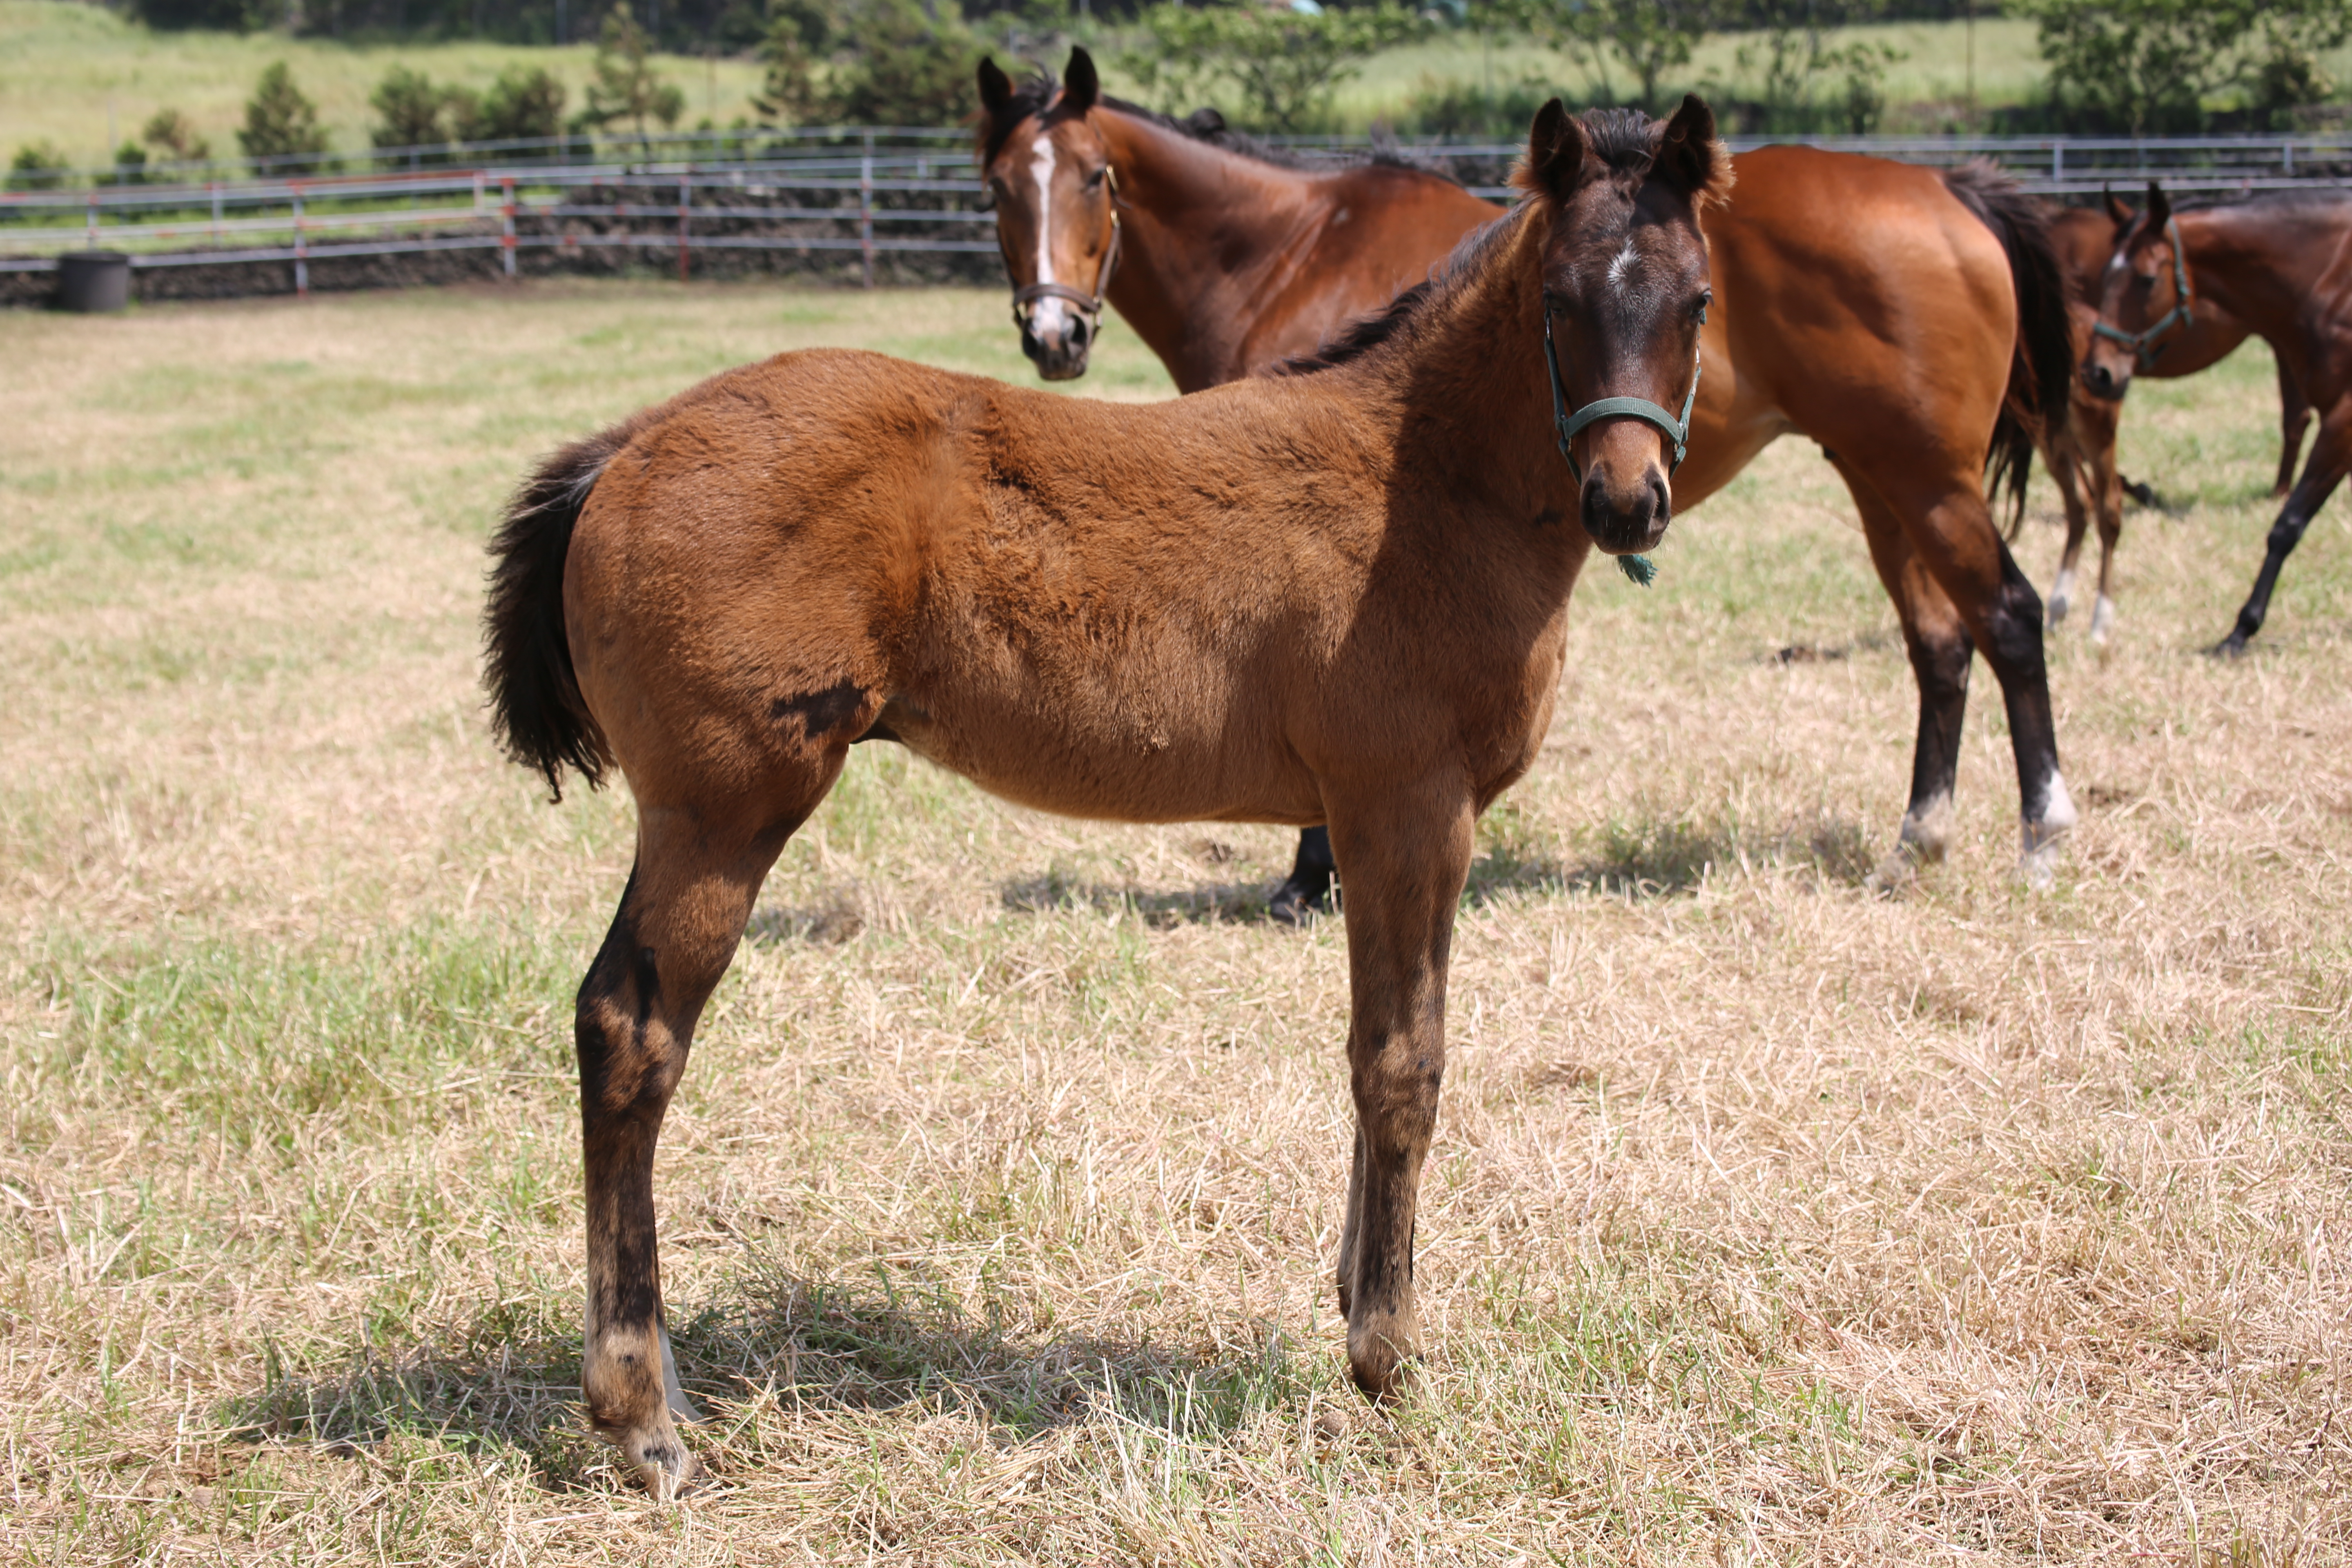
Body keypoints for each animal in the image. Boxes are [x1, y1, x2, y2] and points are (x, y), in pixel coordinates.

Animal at [482, 95, 1731, 1495]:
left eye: (1696, 299)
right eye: (1561, 301)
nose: (1629, 502)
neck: (1420, 484)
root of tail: (627, 446)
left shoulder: (1390, 820)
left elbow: (1377, 1047)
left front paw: (1353, 1297)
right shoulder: (1406, 809)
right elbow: (1404, 1063)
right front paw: (1386, 1354)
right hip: (722, 810)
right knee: (629, 1031)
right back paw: (642, 1414)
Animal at [973, 52, 2079, 907]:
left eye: (1095, 178)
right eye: (996, 188)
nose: (1053, 335)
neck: (1291, 253)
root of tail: (1948, 191)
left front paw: (1310, 875)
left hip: (1927, 481)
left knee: (2011, 618)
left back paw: (2044, 837)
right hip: (1878, 479)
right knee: (1939, 644)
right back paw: (1917, 842)